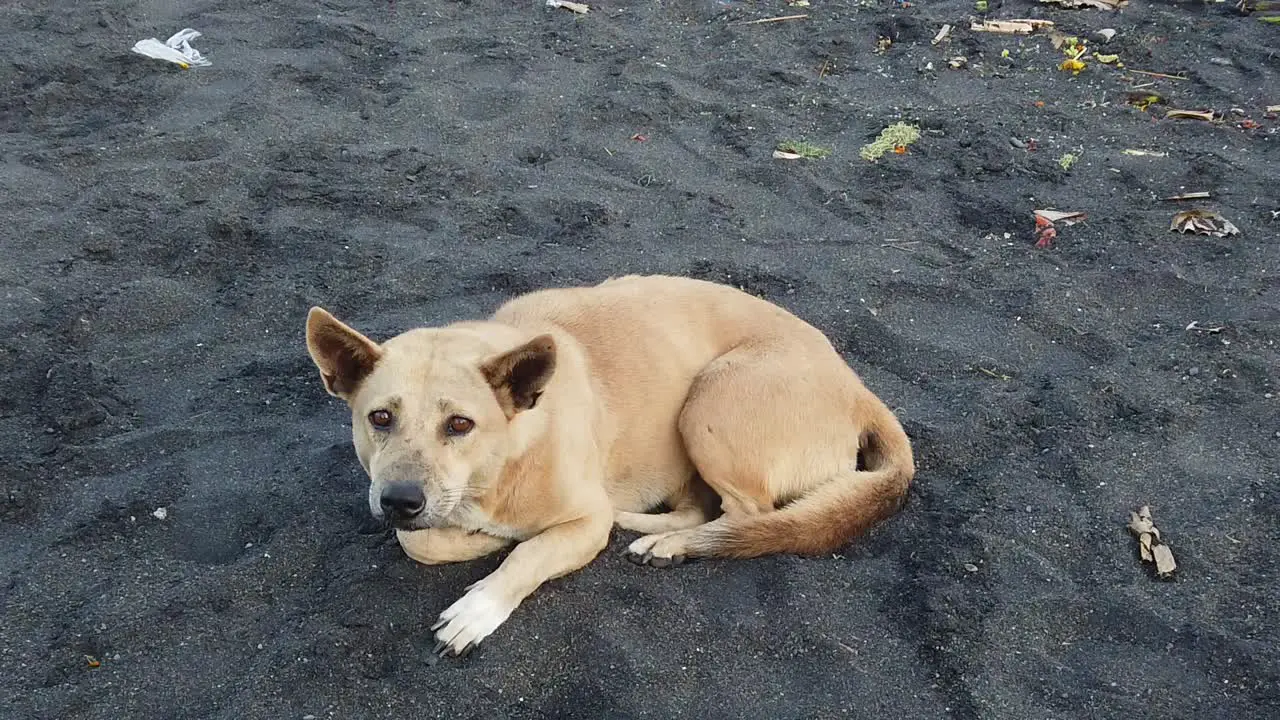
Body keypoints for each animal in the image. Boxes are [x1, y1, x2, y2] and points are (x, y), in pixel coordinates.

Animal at [305, 271, 916, 653]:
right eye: (380, 418)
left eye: (459, 424)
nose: (400, 501)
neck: (505, 458)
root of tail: (859, 390)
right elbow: (426, 542)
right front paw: (475, 535)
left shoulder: (579, 520)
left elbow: (528, 552)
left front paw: (482, 600)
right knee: (703, 509)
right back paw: (651, 529)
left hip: (712, 397)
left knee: (750, 515)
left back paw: (668, 543)